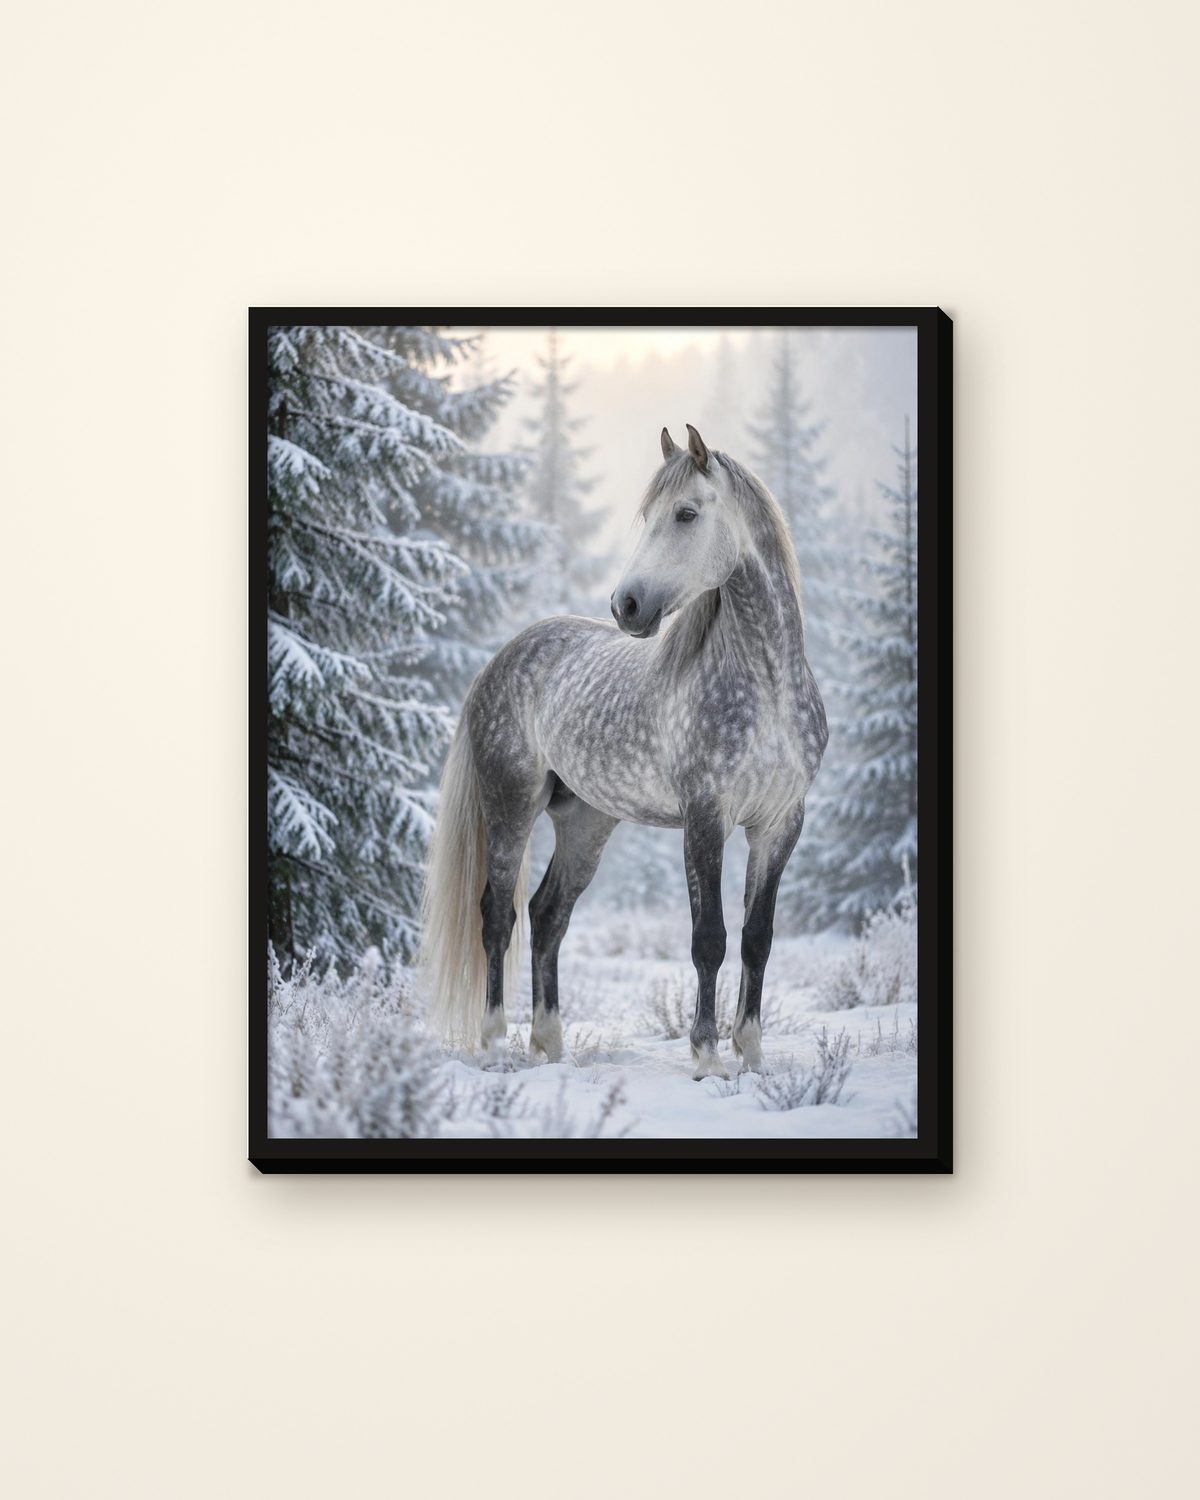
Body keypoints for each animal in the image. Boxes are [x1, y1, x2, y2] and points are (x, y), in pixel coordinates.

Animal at [420, 423, 828, 1080]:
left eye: (686, 513)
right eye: (646, 515)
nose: (626, 606)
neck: (767, 686)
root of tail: (503, 658)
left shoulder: (780, 824)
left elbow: (756, 938)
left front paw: (752, 1054)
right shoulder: (706, 817)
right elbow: (709, 938)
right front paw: (707, 1056)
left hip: (586, 821)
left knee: (548, 915)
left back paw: (549, 1044)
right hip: (510, 806)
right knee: (498, 915)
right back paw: (494, 1046)